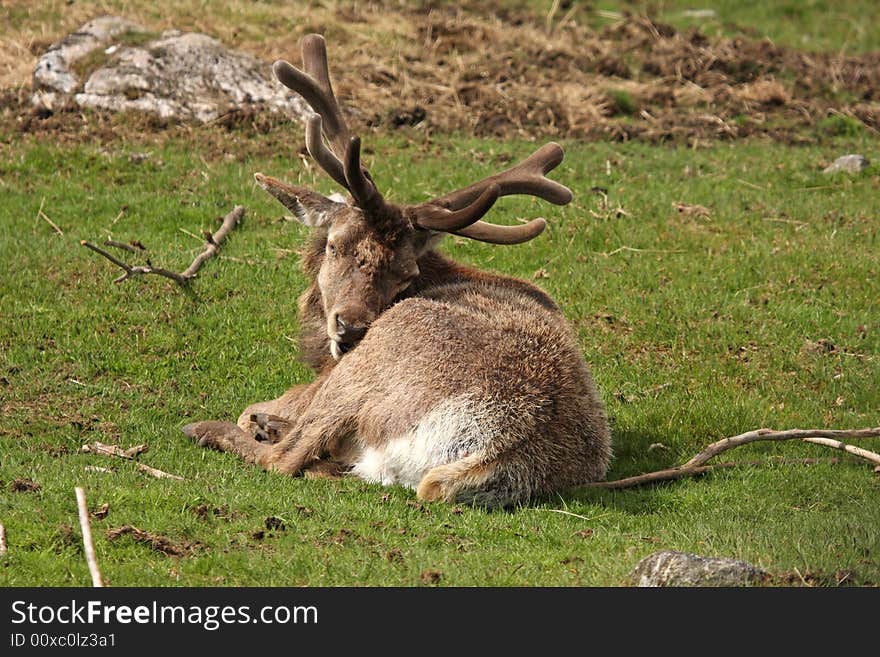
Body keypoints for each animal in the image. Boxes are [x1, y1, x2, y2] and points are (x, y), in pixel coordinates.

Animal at [184, 34, 612, 508]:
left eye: (406, 275)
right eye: (336, 246)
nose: (350, 328)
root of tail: (492, 450)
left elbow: (255, 414)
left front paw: (257, 421)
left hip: (371, 364)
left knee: (286, 456)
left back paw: (215, 428)